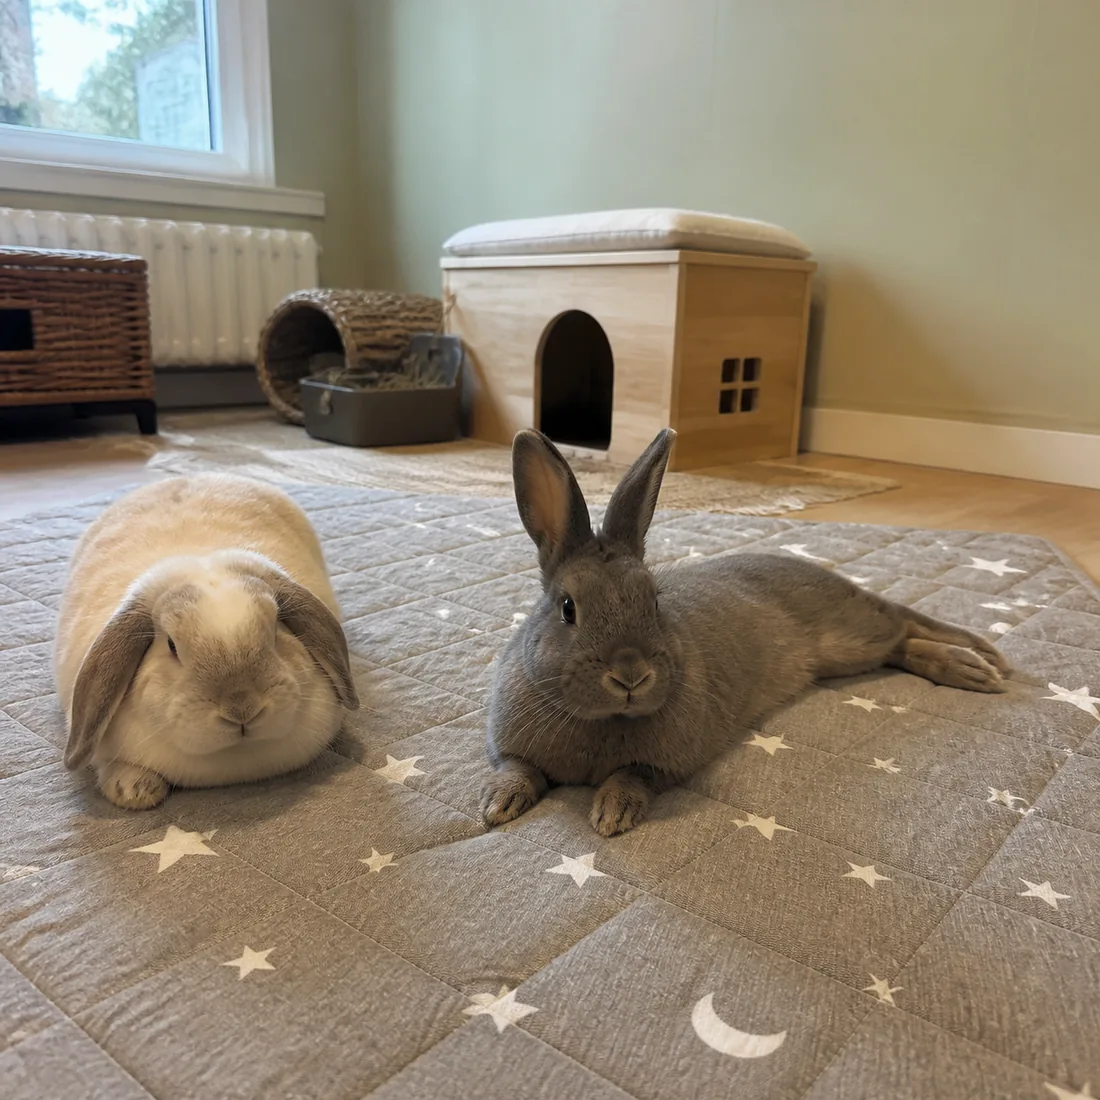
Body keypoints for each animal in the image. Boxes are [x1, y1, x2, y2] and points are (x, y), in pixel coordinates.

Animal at [480, 428, 1009, 837]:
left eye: (655, 600)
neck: (603, 719)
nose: (631, 675)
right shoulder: (510, 747)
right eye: (568, 608)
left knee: (901, 622)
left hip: (851, 639)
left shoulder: (665, 765)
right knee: (900, 638)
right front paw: (496, 805)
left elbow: (633, 777)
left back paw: (977, 660)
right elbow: (517, 769)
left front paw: (612, 814)